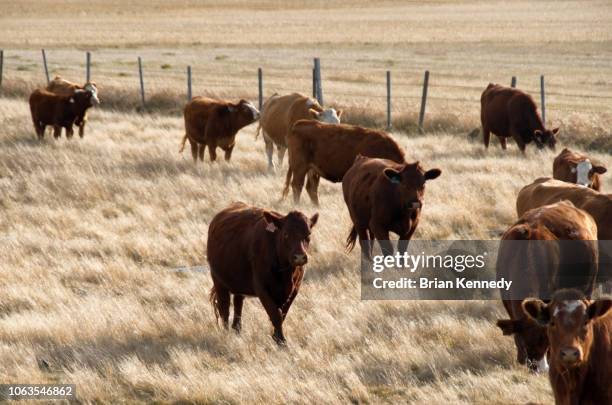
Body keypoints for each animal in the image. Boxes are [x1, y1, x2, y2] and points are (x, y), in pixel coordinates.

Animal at [207, 202, 318, 344]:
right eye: (286, 234)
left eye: (308, 235)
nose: (299, 257)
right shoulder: (262, 288)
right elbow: (276, 314)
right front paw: (281, 341)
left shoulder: (294, 289)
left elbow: (282, 314)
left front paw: (277, 337)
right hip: (218, 281)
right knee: (224, 308)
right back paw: (226, 333)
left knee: (238, 304)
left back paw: (237, 329)